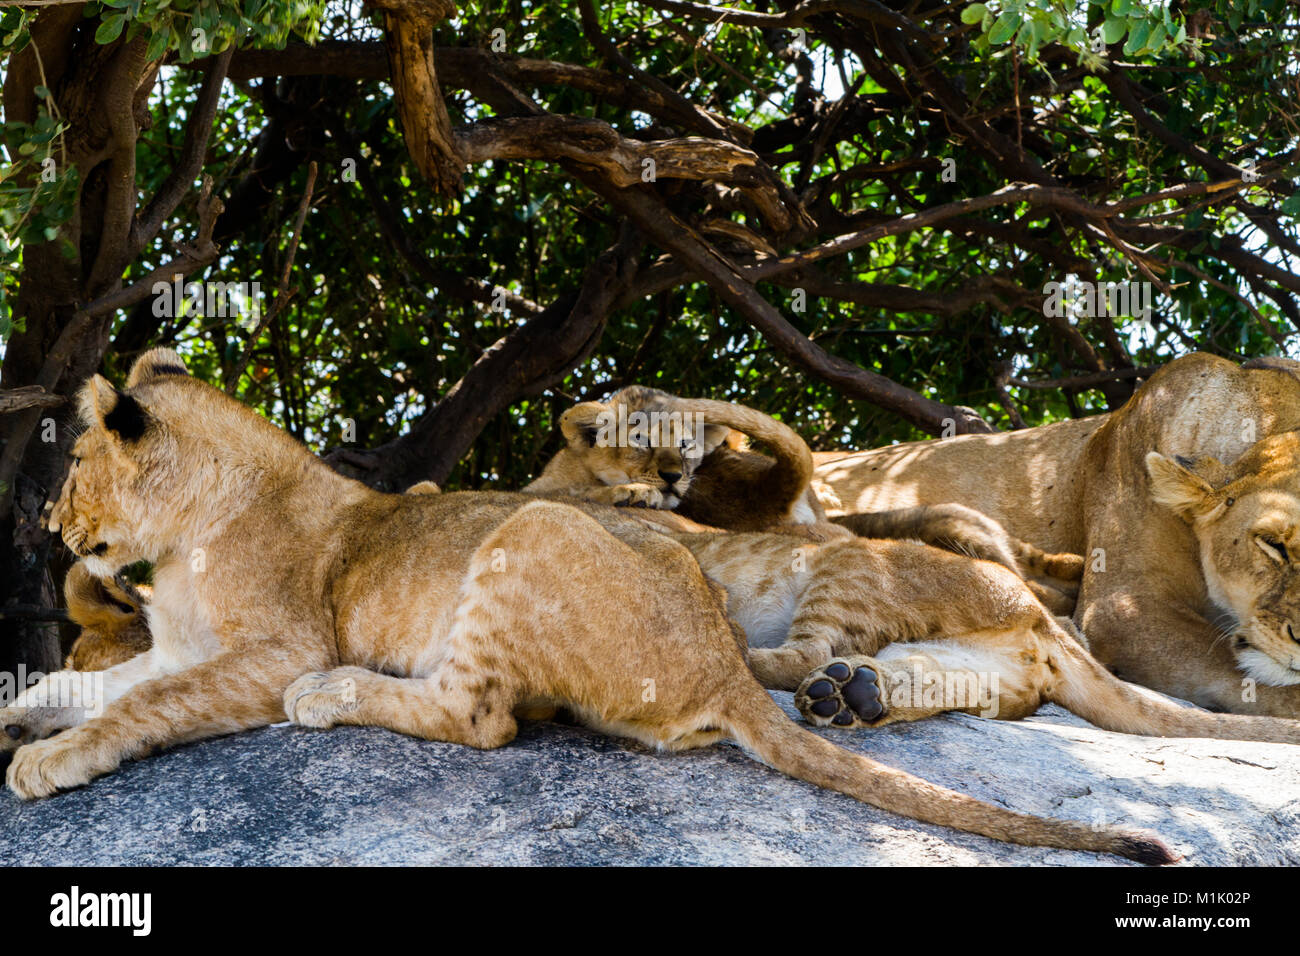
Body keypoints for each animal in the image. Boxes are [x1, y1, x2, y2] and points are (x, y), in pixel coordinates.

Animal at [0, 348, 1177, 862]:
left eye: (74, 469)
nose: (47, 521)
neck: (179, 545)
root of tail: (719, 665)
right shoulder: (169, 645)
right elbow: (88, 680)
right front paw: (21, 717)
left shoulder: (262, 651)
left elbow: (137, 708)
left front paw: (49, 761)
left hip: (526, 536)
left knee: (478, 716)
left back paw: (337, 693)